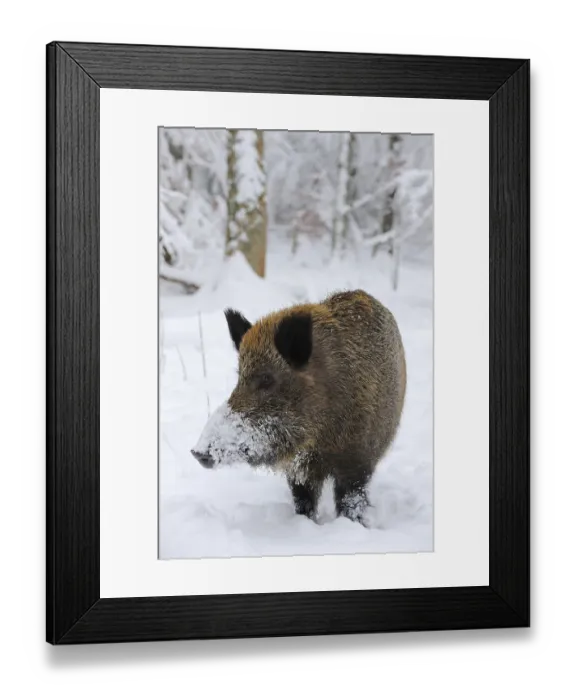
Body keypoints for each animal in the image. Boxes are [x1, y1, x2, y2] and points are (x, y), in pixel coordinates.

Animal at [191, 289, 407, 526]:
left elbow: (350, 500)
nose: (197, 453)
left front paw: (354, 525)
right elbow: (303, 501)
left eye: (267, 379)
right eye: (239, 377)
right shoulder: (298, 470)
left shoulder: (357, 461)